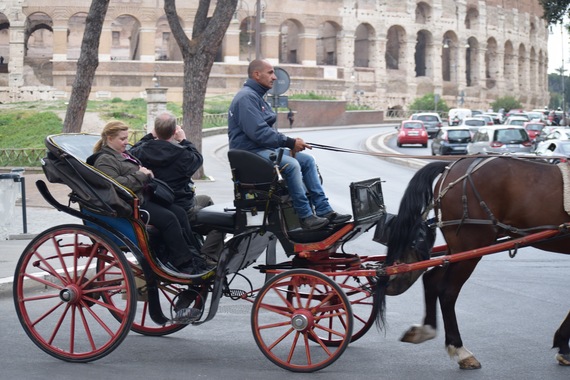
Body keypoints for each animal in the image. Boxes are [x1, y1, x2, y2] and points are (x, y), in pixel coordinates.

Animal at [374, 156, 568, 370]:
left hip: (458, 249)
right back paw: (459, 349)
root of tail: (450, 166)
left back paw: (427, 330)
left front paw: (562, 345)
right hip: (471, 245)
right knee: (447, 291)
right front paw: (563, 346)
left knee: (432, 279)